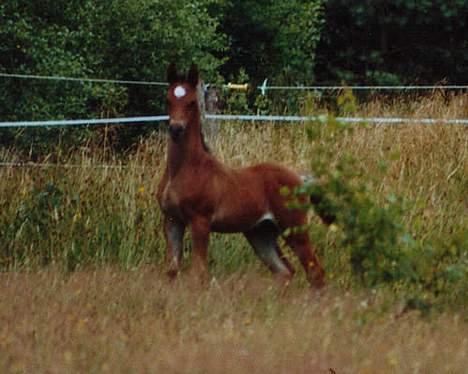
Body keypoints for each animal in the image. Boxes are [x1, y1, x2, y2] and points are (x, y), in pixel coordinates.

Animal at [157, 62, 330, 288]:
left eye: (191, 102)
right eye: (168, 100)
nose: (176, 128)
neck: (185, 169)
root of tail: (301, 179)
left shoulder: (200, 221)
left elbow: (199, 273)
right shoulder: (172, 220)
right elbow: (171, 271)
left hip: (294, 227)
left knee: (314, 272)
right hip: (260, 233)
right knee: (284, 271)